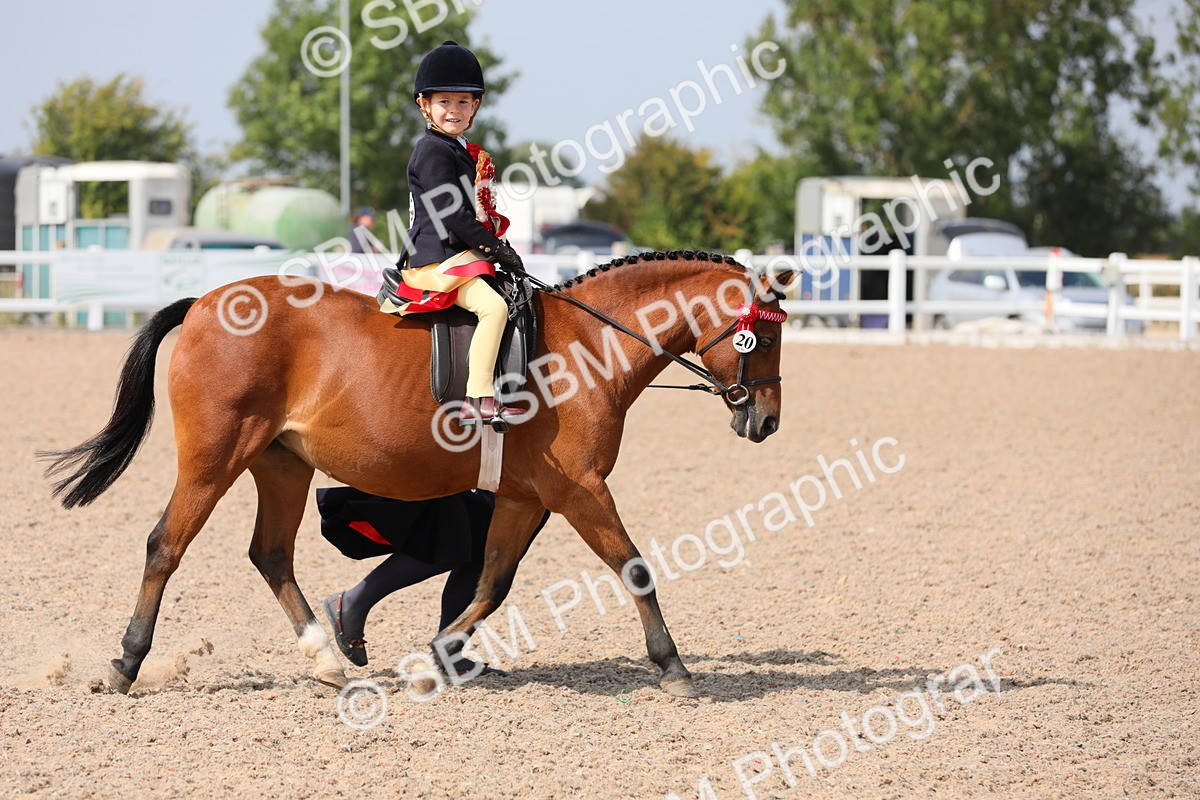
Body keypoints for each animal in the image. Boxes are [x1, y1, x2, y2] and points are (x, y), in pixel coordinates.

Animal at [42, 251, 795, 698]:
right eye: (762, 335)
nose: (766, 421)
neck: (588, 346)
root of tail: (202, 302)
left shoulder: (526, 497)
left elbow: (492, 581)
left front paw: (438, 655)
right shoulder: (579, 489)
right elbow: (633, 566)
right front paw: (672, 666)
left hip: (281, 464)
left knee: (271, 554)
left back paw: (327, 659)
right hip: (213, 457)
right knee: (165, 546)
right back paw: (125, 664)